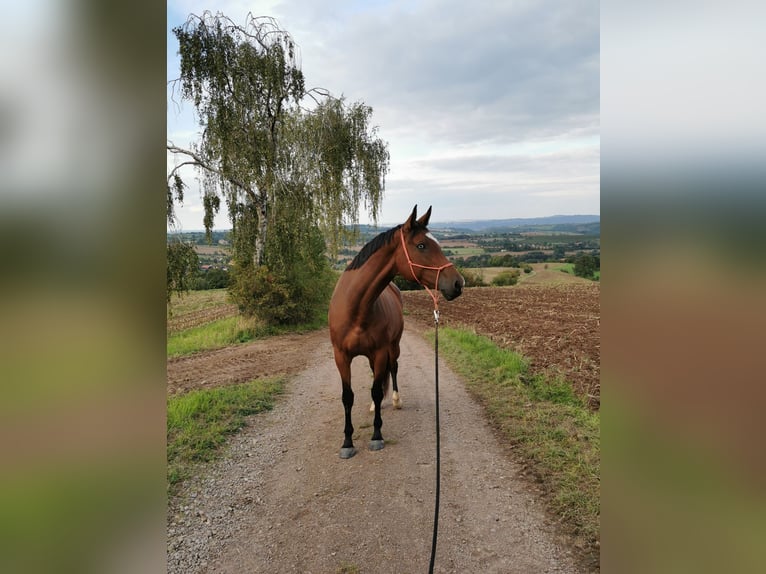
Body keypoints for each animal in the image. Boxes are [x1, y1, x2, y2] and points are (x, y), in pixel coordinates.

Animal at [328, 205, 465, 459]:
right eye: (421, 245)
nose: (458, 283)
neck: (356, 309)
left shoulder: (381, 351)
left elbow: (376, 388)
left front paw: (376, 436)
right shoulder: (341, 356)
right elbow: (348, 397)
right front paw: (347, 442)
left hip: (394, 347)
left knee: (393, 369)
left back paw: (395, 399)